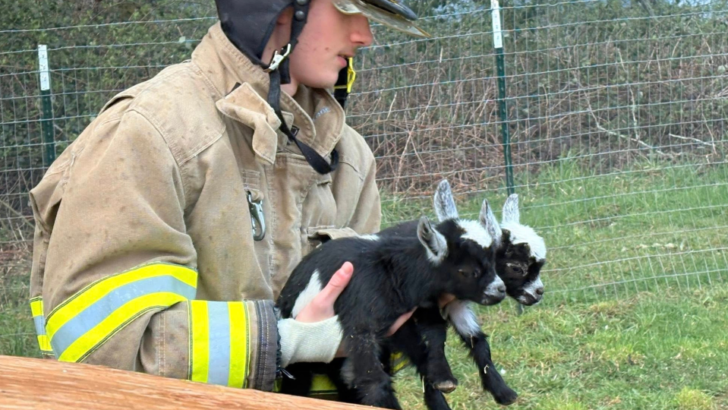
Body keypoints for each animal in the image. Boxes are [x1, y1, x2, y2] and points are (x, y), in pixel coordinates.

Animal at [276, 201, 505, 410]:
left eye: (493, 262)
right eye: (468, 271)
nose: (501, 289)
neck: (390, 267)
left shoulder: (417, 310)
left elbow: (441, 334)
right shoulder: (361, 316)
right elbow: (374, 380)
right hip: (302, 362)